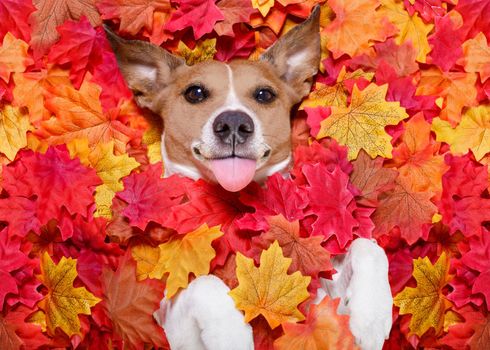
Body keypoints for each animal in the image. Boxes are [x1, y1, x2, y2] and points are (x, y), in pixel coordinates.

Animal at [105, 6, 392, 350]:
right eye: (195, 92)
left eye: (264, 94)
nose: (233, 123)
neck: (240, 208)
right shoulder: (167, 323)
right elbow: (205, 283)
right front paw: (231, 335)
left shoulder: (322, 288)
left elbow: (368, 247)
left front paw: (370, 319)